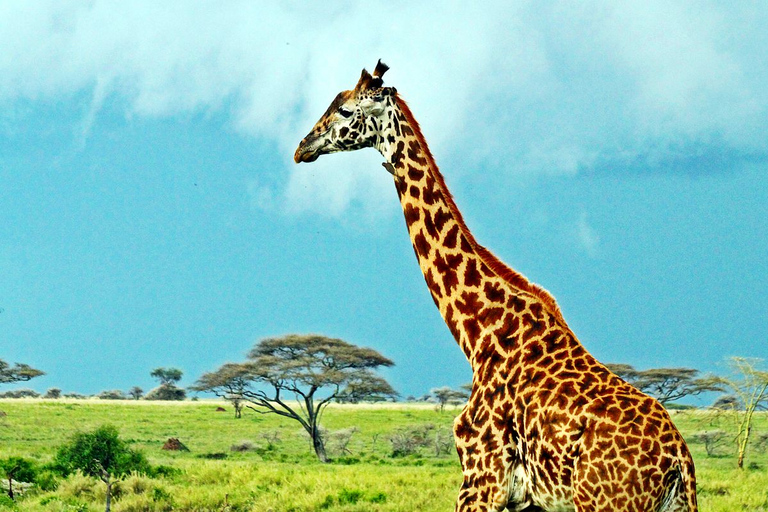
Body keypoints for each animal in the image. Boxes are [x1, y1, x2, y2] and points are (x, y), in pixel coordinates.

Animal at [292, 62, 696, 510]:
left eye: (346, 110)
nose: (302, 146)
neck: (478, 333)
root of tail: (679, 461)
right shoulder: (526, 498)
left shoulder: (482, 475)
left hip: (604, 501)